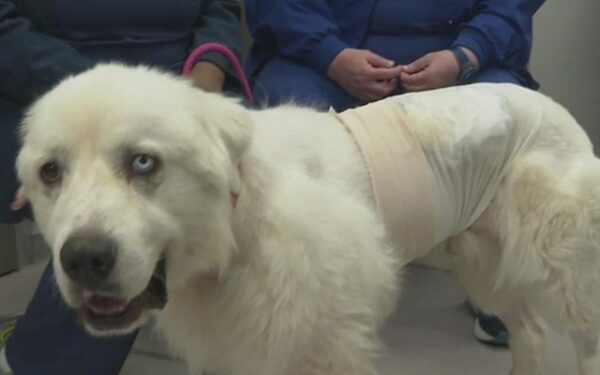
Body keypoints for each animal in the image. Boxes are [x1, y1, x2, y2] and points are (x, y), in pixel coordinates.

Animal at [15, 63, 600, 374]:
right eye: (51, 172)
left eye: (142, 163)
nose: (84, 259)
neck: (238, 230)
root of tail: (545, 103)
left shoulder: (319, 347)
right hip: (484, 263)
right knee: (531, 332)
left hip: (560, 268)